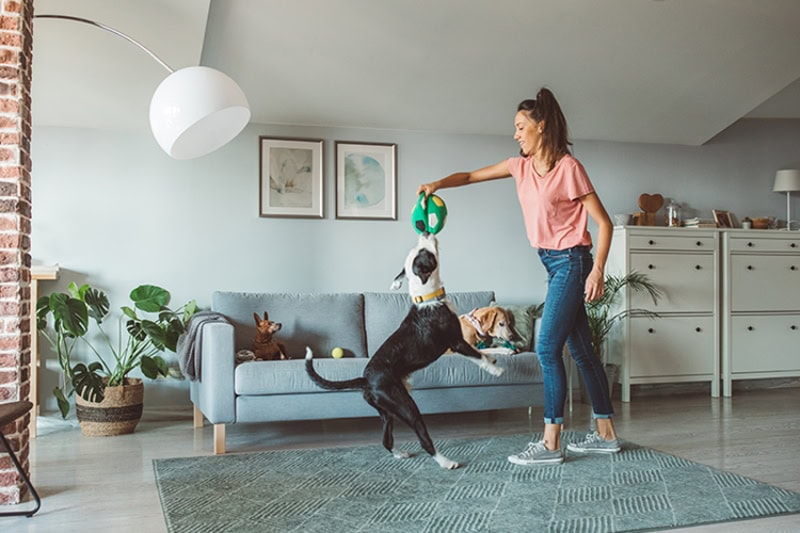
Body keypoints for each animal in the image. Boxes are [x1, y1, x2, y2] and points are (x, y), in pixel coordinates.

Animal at [308, 231, 506, 468]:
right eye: (425, 252)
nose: (425, 232)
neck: (427, 298)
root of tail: (365, 380)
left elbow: (482, 352)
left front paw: (493, 360)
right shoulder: (456, 342)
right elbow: (477, 356)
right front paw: (495, 370)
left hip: (387, 412)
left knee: (386, 439)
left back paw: (400, 454)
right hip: (406, 405)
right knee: (424, 440)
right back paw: (446, 462)